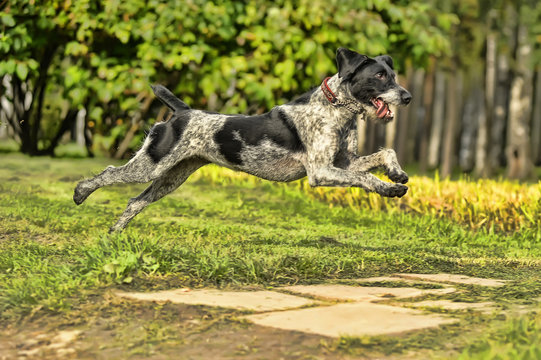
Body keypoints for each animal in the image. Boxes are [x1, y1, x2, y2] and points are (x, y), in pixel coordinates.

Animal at [74, 47, 412, 232]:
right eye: (380, 76)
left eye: (393, 76)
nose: (407, 97)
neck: (337, 110)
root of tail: (182, 112)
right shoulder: (320, 172)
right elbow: (366, 179)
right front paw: (389, 188)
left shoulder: (345, 162)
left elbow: (386, 152)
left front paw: (397, 174)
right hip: (151, 165)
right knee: (108, 174)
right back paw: (80, 193)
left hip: (172, 177)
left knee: (135, 201)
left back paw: (114, 233)